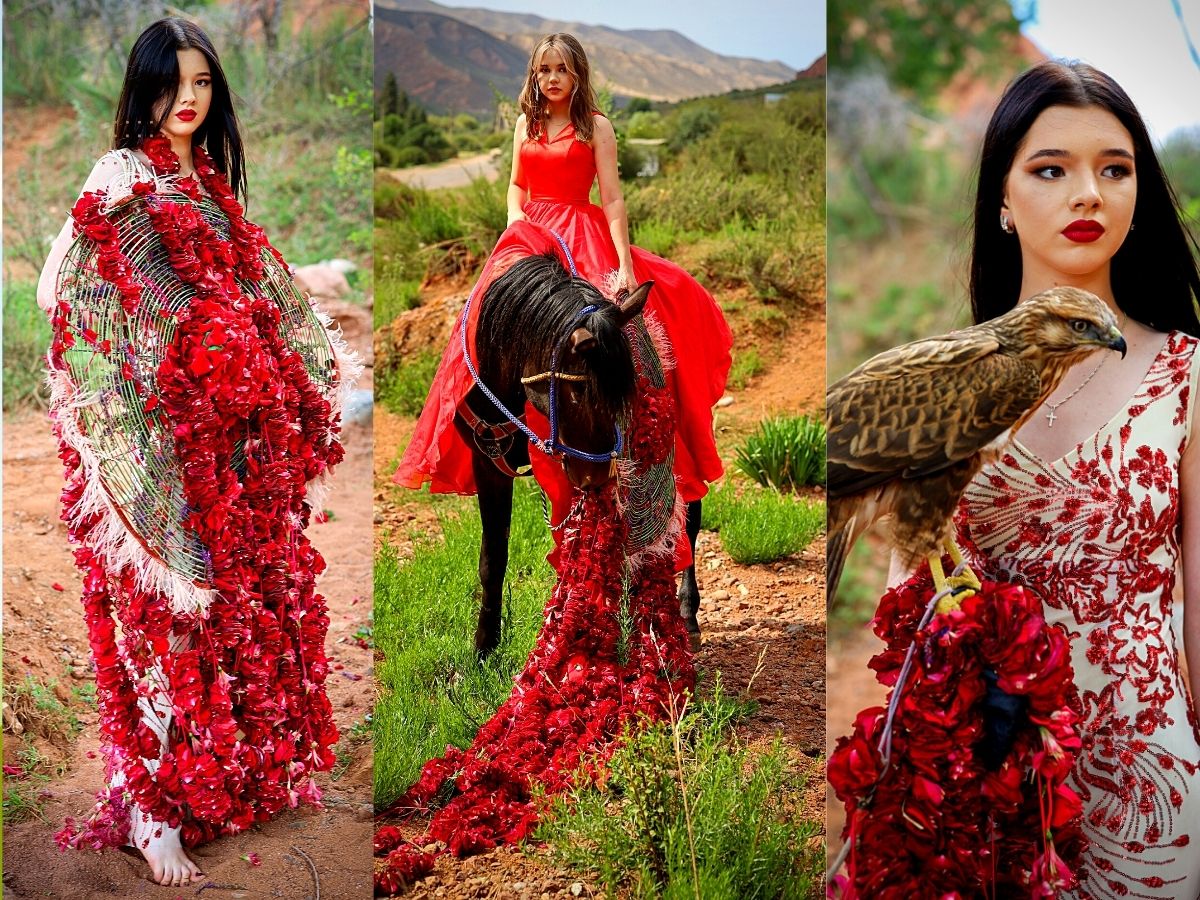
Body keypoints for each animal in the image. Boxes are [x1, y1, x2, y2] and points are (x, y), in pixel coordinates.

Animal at [456, 250, 700, 657]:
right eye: (579, 391)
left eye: (624, 391)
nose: (596, 476)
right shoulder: (488, 460)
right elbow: (494, 556)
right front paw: (484, 649)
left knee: (690, 518)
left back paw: (687, 614)